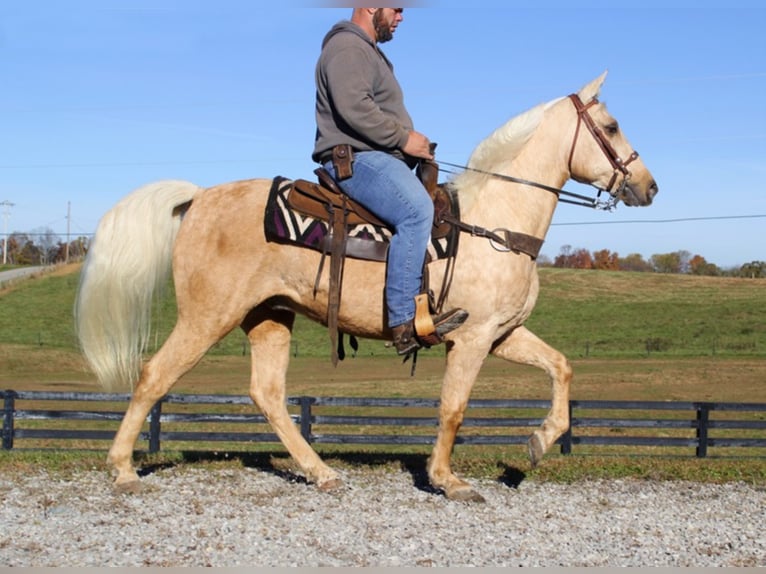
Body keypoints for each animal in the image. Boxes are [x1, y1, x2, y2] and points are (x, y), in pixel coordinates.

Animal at [75, 73, 656, 504]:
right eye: (612, 125)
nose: (648, 186)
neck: (495, 224)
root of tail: (196, 198)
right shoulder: (471, 339)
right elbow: (454, 407)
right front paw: (447, 480)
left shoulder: (502, 334)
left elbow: (562, 368)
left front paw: (538, 442)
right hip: (206, 317)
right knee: (154, 375)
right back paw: (123, 469)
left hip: (269, 316)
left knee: (268, 394)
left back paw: (321, 472)